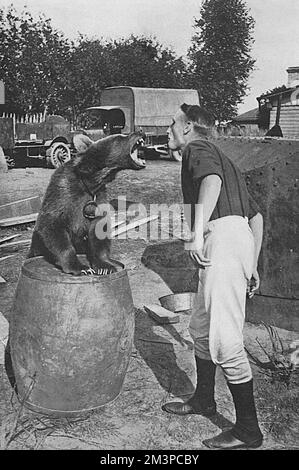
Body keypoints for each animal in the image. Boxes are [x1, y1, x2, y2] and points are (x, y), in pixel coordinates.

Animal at [28, 131, 146, 276]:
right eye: (122, 136)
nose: (141, 132)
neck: (92, 180)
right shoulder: (64, 192)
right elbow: (52, 225)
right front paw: (79, 267)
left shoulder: (99, 196)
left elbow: (99, 230)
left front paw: (105, 265)